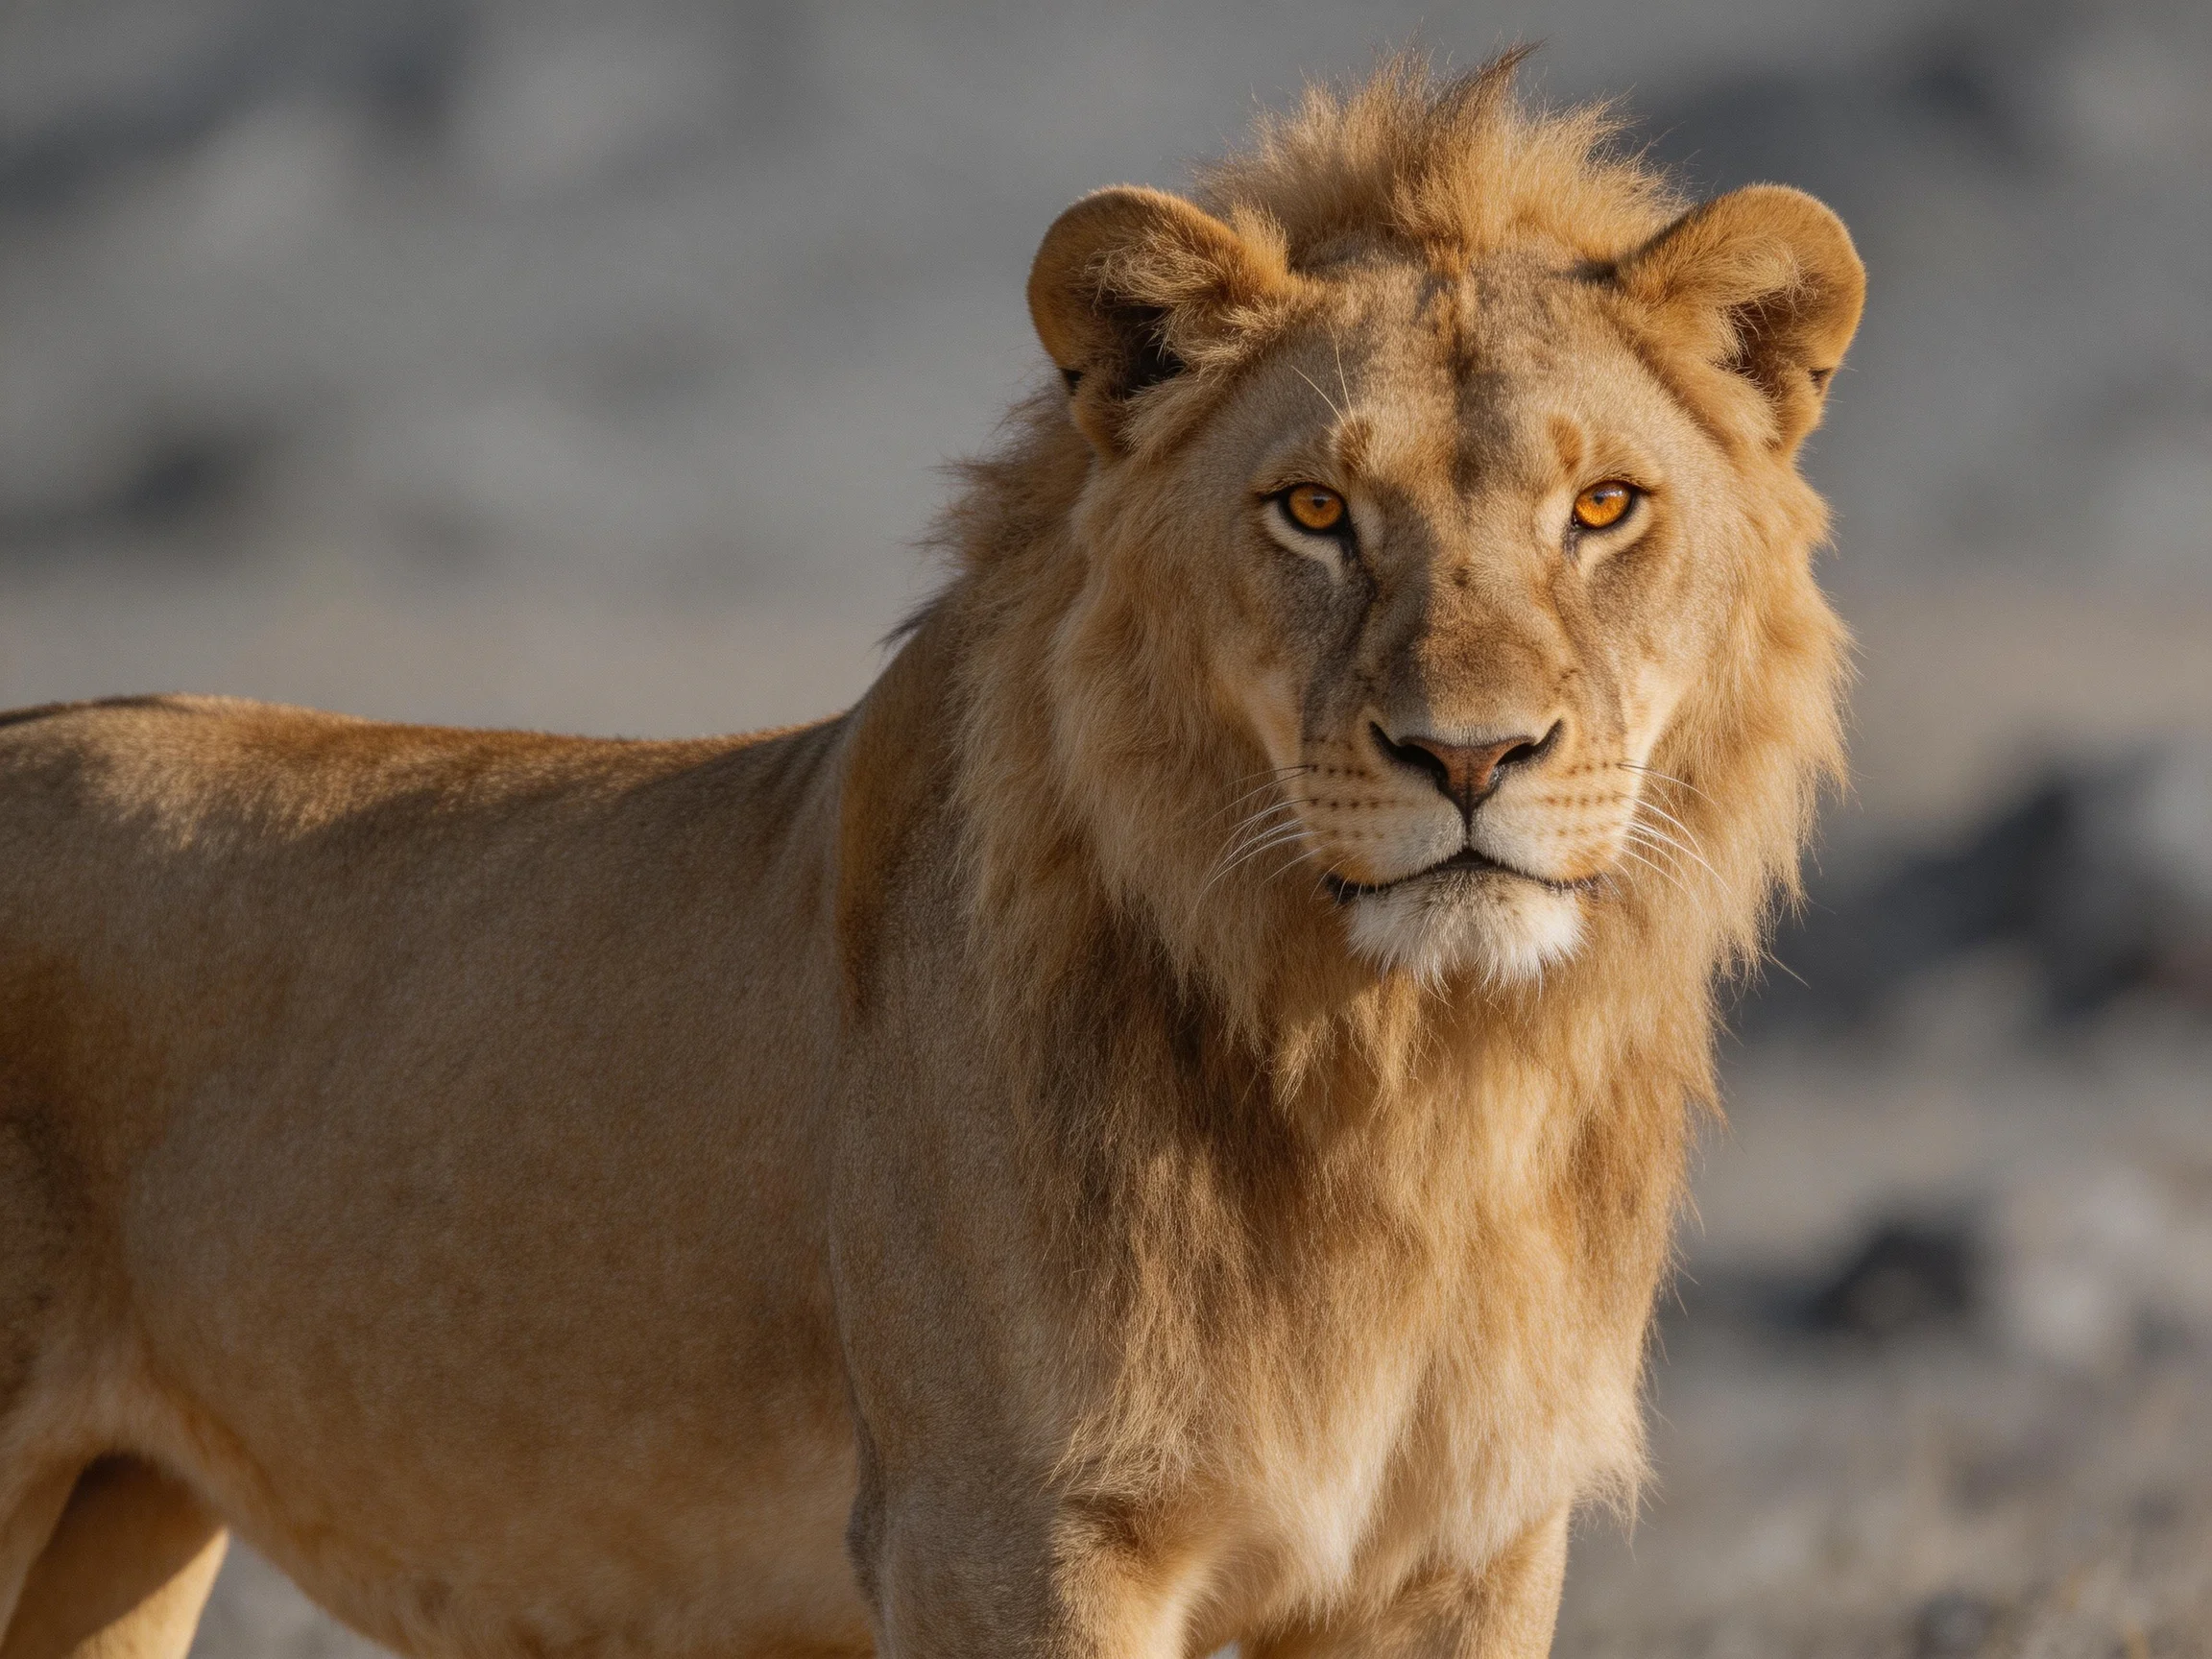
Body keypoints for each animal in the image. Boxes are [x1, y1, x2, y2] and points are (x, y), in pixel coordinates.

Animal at [0, 55, 1859, 1659]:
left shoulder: (1460, 1554)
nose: (1468, 756)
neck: (1401, 1073)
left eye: (1604, 509)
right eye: (1315, 512)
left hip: (121, 1524)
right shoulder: (1005, 1534)